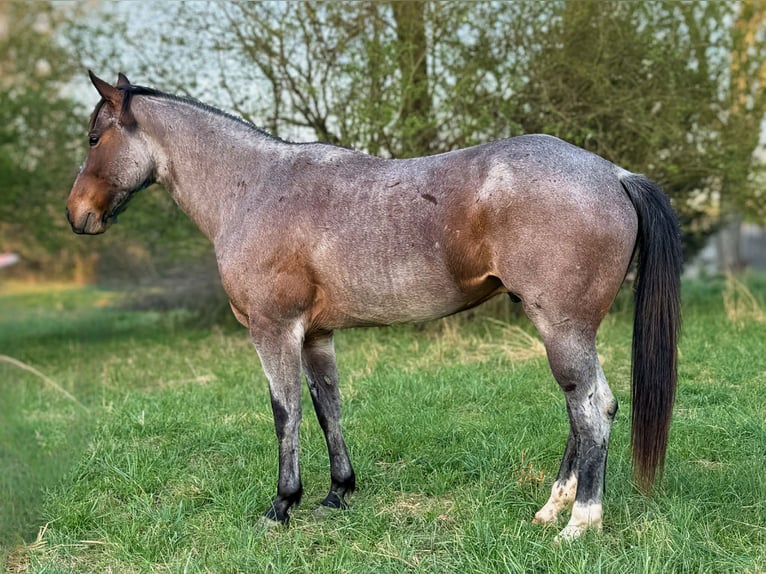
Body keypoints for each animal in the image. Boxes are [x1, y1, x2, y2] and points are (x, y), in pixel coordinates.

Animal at [66, 72, 682, 542]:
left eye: (95, 137)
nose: (77, 215)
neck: (255, 187)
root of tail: (613, 174)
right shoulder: (315, 335)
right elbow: (327, 407)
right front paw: (338, 493)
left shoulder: (273, 330)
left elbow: (285, 412)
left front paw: (281, 505)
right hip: (565, 331)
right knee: (584, 412)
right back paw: (552, 509)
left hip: (562, 329)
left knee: (593, 410)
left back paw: (579, 523)